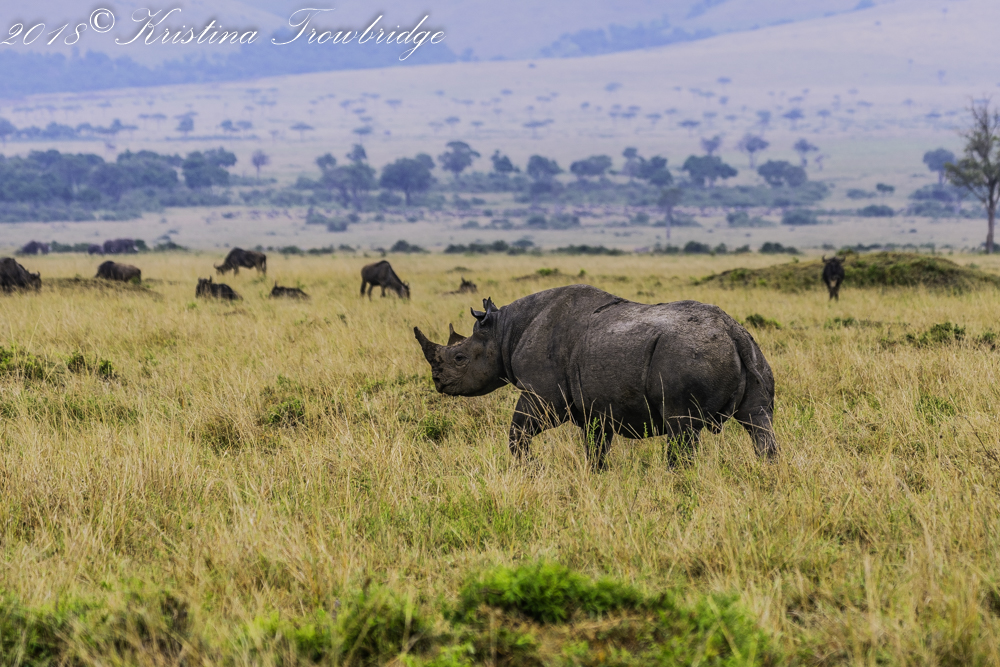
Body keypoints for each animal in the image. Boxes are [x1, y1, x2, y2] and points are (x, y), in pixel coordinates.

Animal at [414, 285, 777, 469]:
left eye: (459, 358)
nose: (438, 383)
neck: (503, 332)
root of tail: (731, 331)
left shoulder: (544, 395)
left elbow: (519, 431)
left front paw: (529, 470)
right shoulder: (595, 407)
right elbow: (596, 446)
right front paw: (596, 475)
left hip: (686, 356)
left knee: (681, 429)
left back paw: (679, 480)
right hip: (755, 353)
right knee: (758, 421)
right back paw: (767, 473)